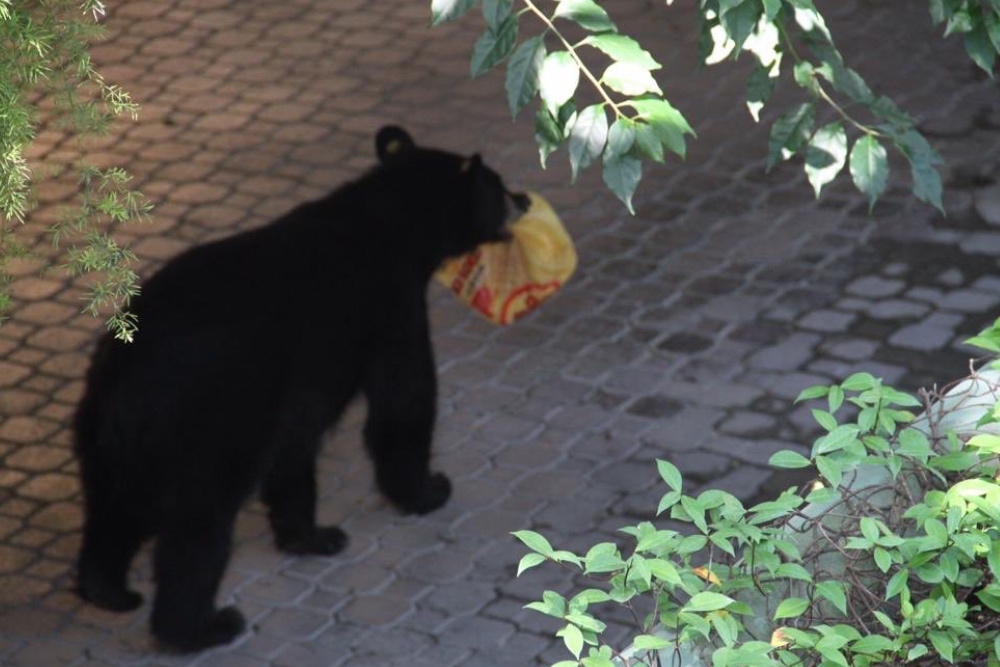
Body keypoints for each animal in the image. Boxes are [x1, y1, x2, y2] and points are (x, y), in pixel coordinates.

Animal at [73, 125, 529, 651]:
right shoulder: (392, 305)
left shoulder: (300, 381)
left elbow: (296, 445)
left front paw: (311, 534)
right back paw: (202, 626)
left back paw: (105, 588)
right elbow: (404, 400)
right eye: (498, 185)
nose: (523, 198)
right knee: (197, 525)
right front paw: (429, 488)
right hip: (209, 422)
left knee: (113, 509)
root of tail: (124, 378)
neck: (391, 221)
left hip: (107, 440)